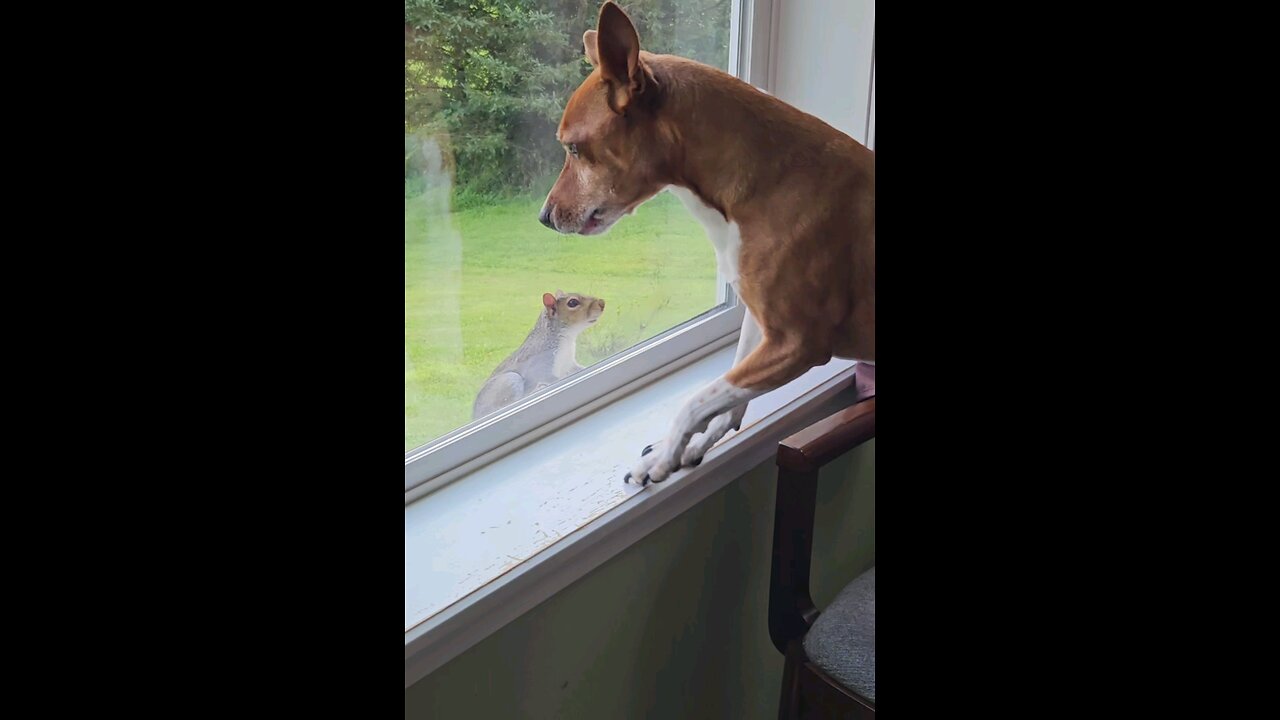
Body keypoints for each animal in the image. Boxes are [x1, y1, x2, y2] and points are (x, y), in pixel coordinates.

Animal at [473, 288, 606, 417]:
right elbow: (551, 378)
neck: (567, 338)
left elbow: (577, 368)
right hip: (509, 381)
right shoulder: (542, 365)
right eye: (572, 303)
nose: (602, 303)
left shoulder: (568, 362)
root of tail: (475, 415)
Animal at [535, 1, 875, 481]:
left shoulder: (797, 342)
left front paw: (664, 457)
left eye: (575, 149)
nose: (543, 218)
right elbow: (726, 402)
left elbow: (697, 400)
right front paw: (687, 448)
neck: (768, 184)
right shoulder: (761, 327)